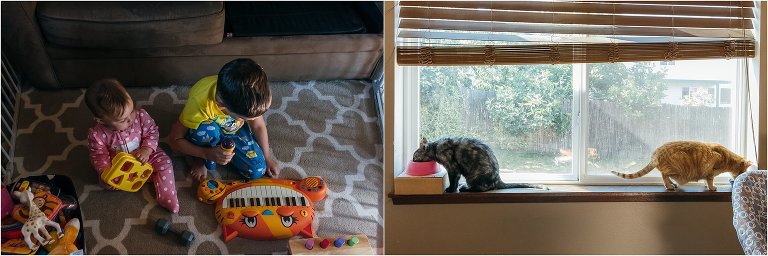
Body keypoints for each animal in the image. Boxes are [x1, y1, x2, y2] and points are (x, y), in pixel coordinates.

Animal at [414, 138, 544, 192]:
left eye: (414, 156)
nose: (412, 159)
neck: (435, 148)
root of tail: (498, 179)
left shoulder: (453, 168)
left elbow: (453, 181)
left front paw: (451, 190)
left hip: (474, 176)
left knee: (481, 188)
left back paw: (465, 188)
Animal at [616, 141, 752, 191]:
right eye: (742, 172)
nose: (740, 178)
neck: (727, 159)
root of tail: (656, 152)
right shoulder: (710, 170)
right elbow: (710, 180)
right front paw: (712, 187)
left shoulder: (707, 173)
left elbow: (706, 180)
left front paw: (706, 185)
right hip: (674, 168)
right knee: (664, 176)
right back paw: (670, 186)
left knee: (665, 175)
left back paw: (672, 184)